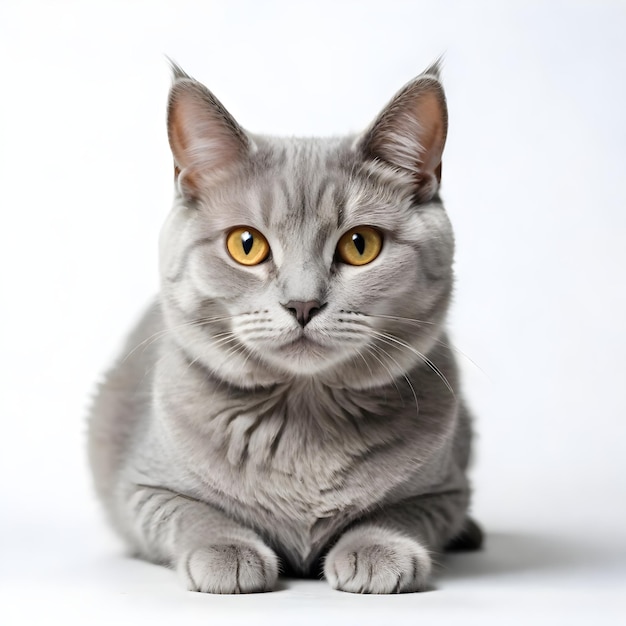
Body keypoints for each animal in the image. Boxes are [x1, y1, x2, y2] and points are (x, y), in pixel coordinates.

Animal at [86, 61, 478, 592]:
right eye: (246, 244)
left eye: (360, 244)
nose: (303, 303)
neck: (304, 416)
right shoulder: (142, 488)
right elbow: (195, 513)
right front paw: (227, 554)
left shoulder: (446, 492)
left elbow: (400, 513)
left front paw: (377, 552)